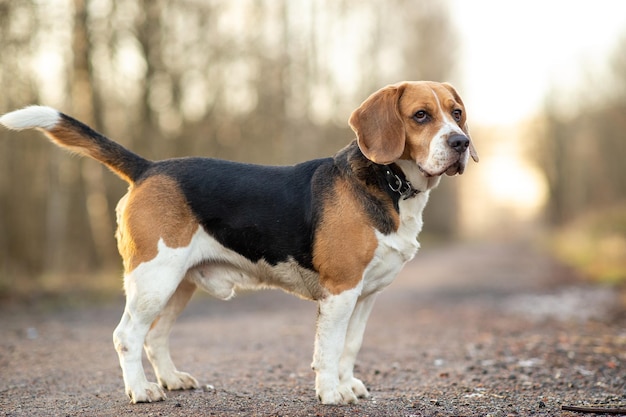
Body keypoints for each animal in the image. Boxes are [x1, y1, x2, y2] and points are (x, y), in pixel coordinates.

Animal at [1, 80, 478, 404]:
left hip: (178, 283)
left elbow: (350, 347)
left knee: (155, 337)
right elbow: (328, 349)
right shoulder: (340, 293)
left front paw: (348, 386)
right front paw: (330, 393)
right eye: (420, 115)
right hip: (154, 278)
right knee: (127, 336)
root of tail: (148, 167)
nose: (462, 142)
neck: (390, 182)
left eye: (456, 113)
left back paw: (172, 379)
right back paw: (142, 390)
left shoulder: (365, 296)